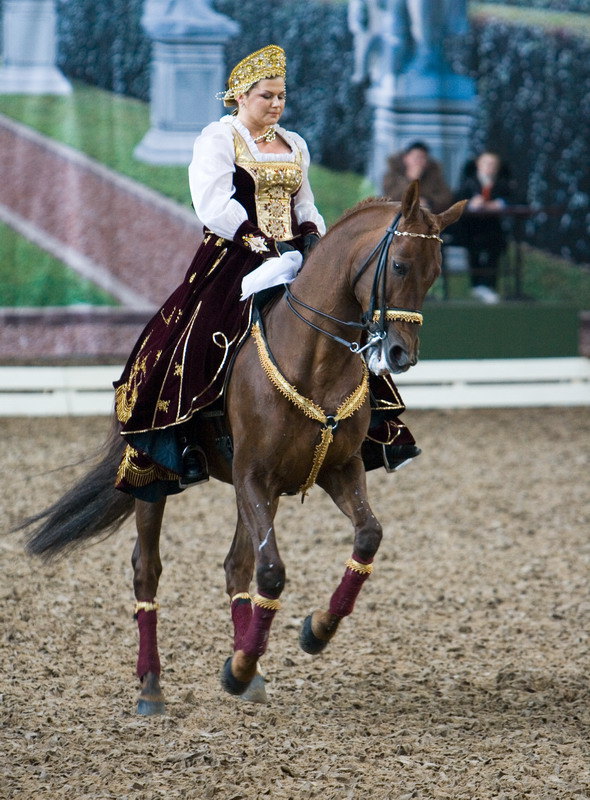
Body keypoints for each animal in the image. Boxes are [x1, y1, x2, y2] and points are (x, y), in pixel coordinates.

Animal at [18, 183, 468, 720]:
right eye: (399, 264)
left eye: (435, 272)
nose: (402, 355)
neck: (315, 359)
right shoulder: (254, 474)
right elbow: (271, 573)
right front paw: (241, 667)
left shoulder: (336, 469)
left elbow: (366, 538)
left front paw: (312, 633)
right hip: (154, 476)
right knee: (148, 570)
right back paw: (152, 687)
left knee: (236, 564)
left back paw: (244, 667)